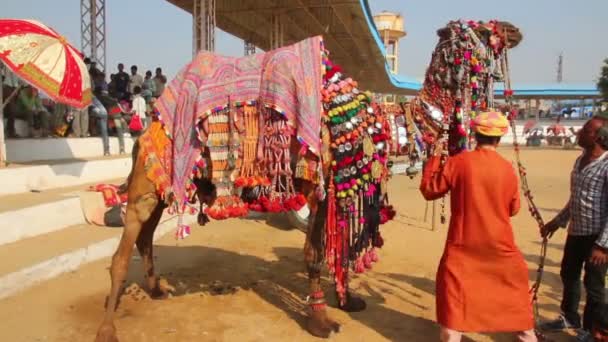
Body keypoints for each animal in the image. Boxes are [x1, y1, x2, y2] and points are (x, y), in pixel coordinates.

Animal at [95, 19, 524, 342]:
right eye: (481, 29)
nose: (514, 29)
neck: (384, 122)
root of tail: (147, 126)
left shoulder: (335, 192)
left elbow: (339, 249)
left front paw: (348, 301)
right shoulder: (321, 187)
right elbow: (316, 254)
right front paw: (321, 321)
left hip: (161, 185)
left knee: (146, 236)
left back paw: (157, 289)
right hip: (147, 183)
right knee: (121, 253)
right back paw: (108, 329)